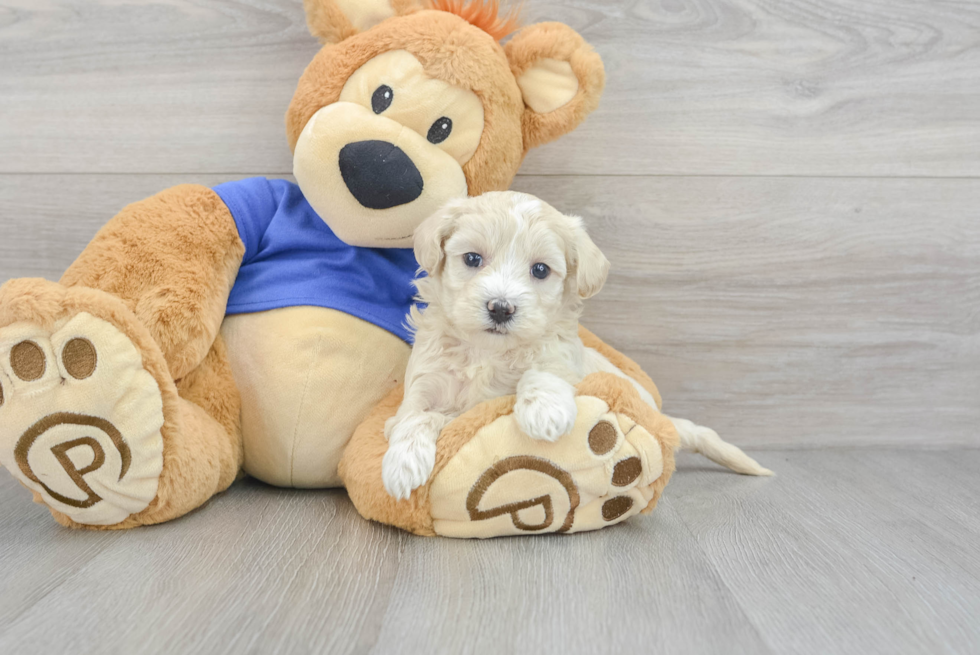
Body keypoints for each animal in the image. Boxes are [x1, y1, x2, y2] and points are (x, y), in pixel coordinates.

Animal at [382, 192, 772, 500]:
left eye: (540, 270)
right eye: (473, 259)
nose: (501, 308)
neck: (486, 352)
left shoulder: (560, 357)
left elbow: (544, 370)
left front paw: (544, 413)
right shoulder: (424, 384)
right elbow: (415, 417)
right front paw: (402, 465)